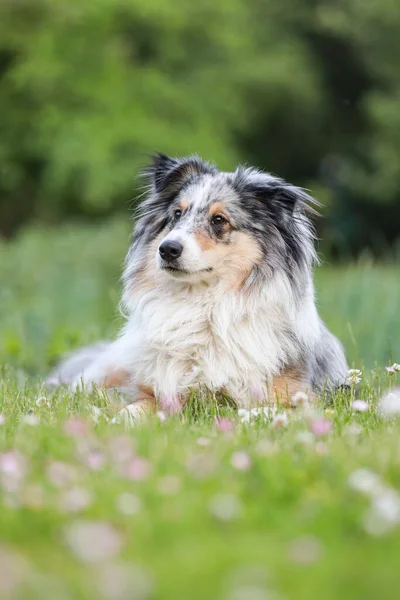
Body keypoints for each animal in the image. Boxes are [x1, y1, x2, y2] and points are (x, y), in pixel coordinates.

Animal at [49, 152, 346, 420]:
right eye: (177, 214)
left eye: (219, 220)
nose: (167, 249)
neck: (203, 306)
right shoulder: (158, 391)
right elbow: (132, 408)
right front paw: (115, 419)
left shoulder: (298, 400)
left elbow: (258, 411)